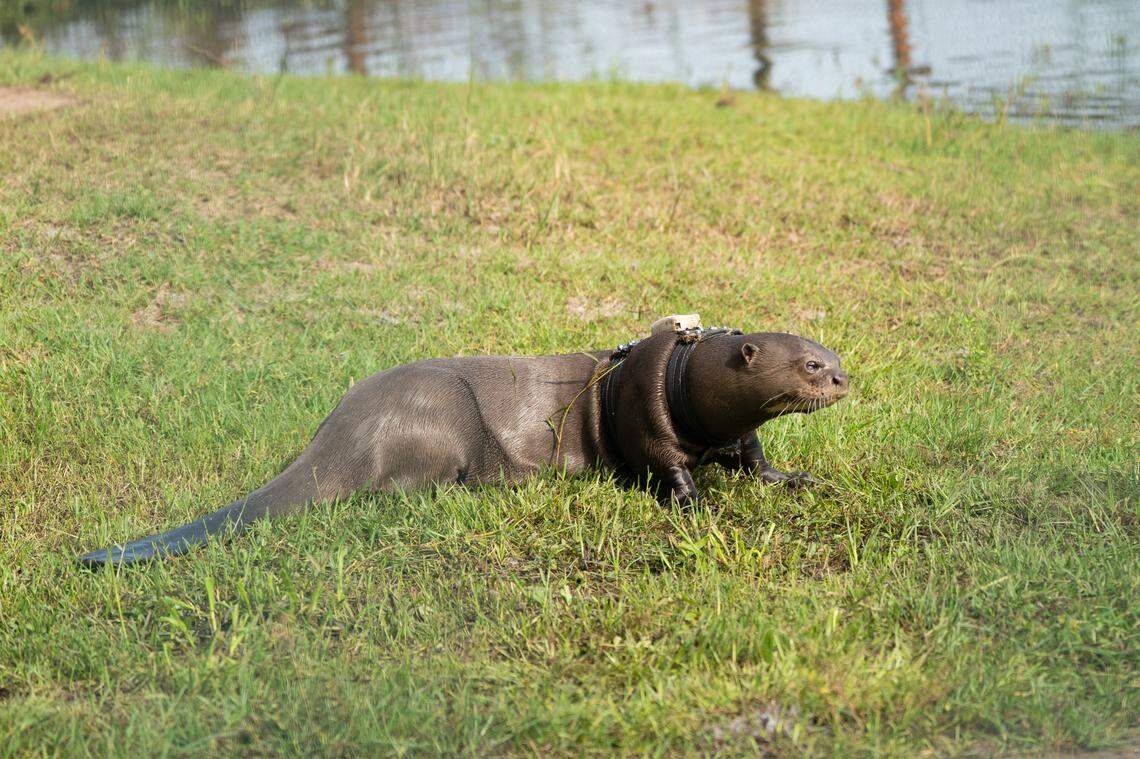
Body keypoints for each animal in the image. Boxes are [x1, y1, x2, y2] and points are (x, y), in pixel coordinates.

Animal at [78, 328, 848, 567]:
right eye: (810, 365)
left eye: (832, 351)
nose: (843, 377)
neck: (685, 388)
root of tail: (339, 429)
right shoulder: (650, 430)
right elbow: (671, 475)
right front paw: (699, 512)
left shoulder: (736, 434)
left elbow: (757, 460)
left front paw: (798, 479)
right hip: (439, 421)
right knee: (392, 490)